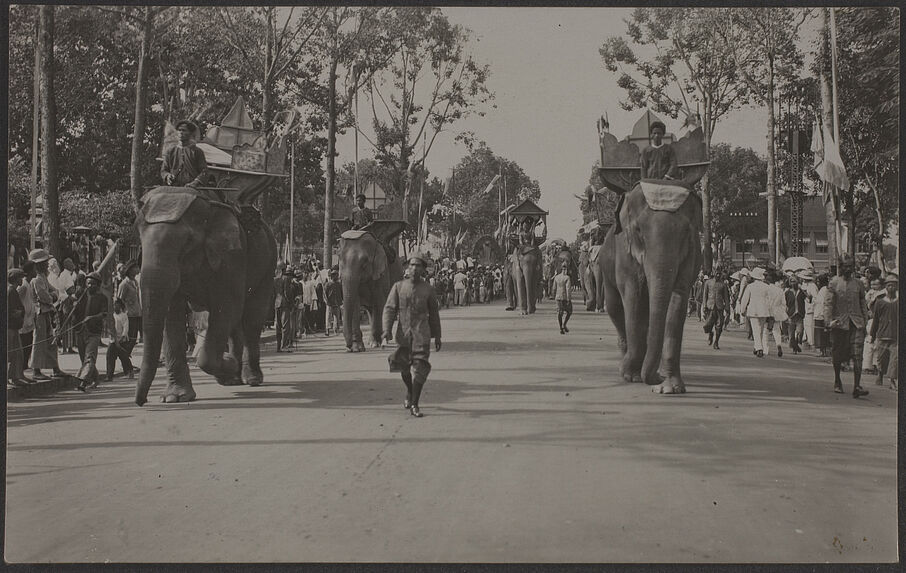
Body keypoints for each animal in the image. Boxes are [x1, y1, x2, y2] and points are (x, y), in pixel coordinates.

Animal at [132, 185, 276, 404]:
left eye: (187, 242)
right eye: (140, 237)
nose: (142, 401)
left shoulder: (232, 255)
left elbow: (227, 307)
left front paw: (228, 363)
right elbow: (172, 315)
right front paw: (174, 398)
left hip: (268, 263)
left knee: (252, 317)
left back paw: (251, 379)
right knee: (232, 322)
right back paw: (235, 379)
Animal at [604, 179, 704, 394]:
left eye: (686, 233)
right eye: (639, 231)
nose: (656, 378)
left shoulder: (691, 252)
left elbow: (678, 299)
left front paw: (669, 388)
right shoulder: (625, 253)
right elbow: (633, 296)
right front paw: (630, 375)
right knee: (615, 307)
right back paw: (625, 356)